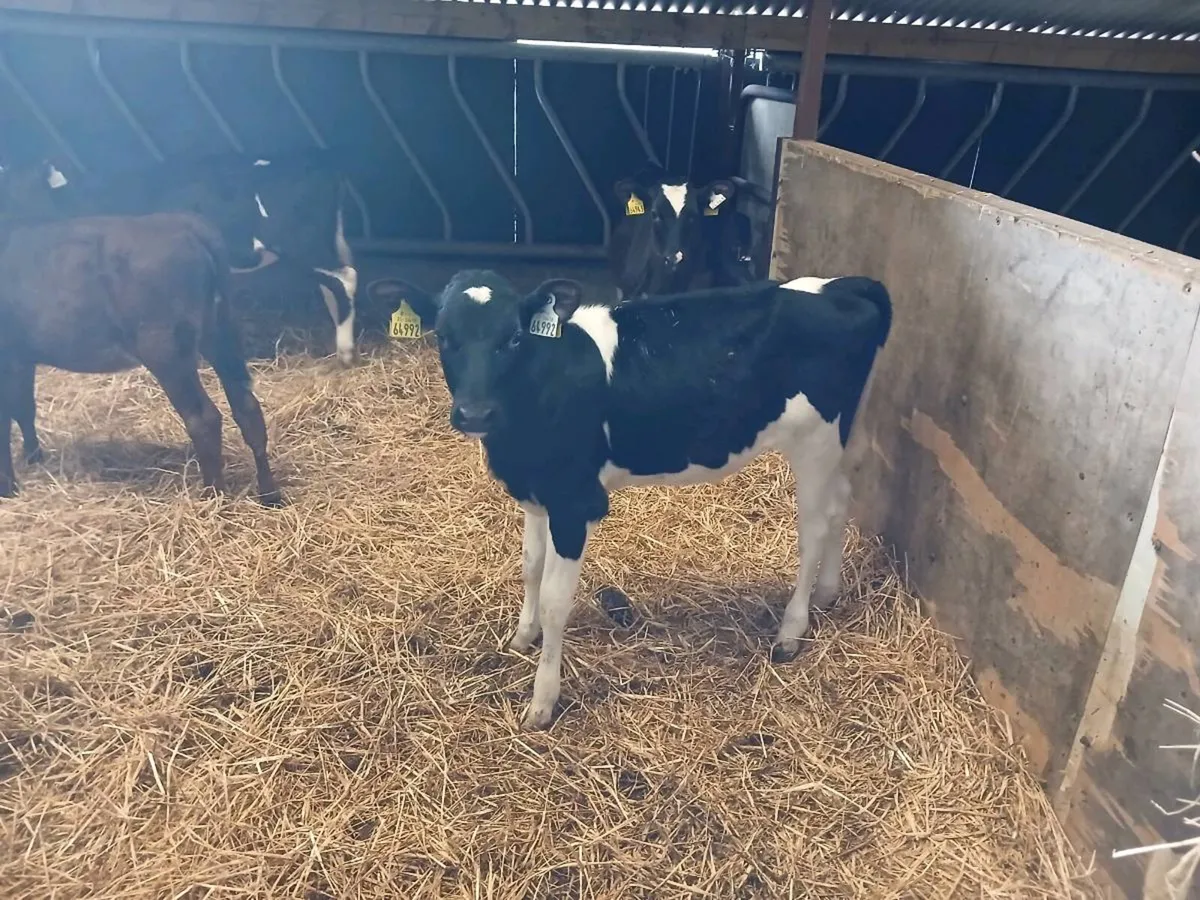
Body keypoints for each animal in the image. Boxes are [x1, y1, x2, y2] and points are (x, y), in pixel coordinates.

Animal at [0, 164, 282, 506]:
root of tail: (186, 224)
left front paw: (7, 485)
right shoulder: (19, 355)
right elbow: (24, 408)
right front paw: (33, 459)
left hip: (166, 349)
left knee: (204, 418)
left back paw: (211, 494)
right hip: (221, 332)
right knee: (247, 408)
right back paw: (269, 493)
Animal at [420, 269, 893, 729]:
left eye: (514, 338)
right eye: (443, 335)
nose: (475, 413)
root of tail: (842, 284)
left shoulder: (576, 503)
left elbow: (556, 601)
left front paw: (542, 702)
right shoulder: (537, 493)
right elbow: (530, 566)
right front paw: (522, 636)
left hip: (815, 440)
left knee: (813, 530)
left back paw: (791, 632)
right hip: (840, 438)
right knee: (841, 501)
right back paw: (825, 594)